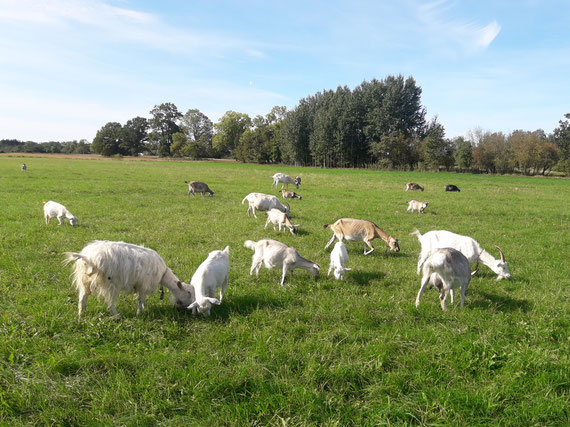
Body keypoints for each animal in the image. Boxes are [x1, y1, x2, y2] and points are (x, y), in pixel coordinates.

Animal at [63, 239, 194, 320]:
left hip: (85, 281)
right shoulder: (143, 285)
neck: (163, 274)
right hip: (111, 284)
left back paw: (81, 316)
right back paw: (118, 317)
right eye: (189, 293)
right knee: (109, 304)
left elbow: (142, 300)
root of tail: (88, 257)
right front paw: (139, 314)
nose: (189, 309)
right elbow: (141, 300)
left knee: (82, 300)